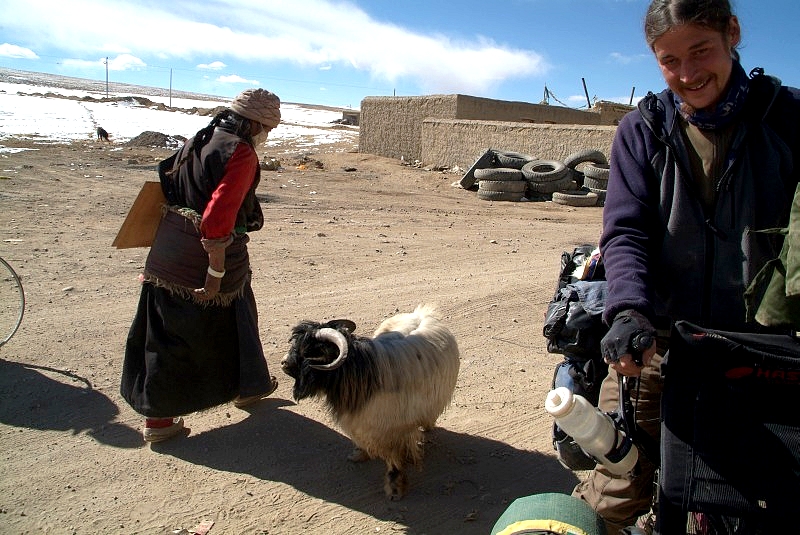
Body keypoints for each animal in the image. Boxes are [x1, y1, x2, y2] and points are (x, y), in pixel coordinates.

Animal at [282, 306, 460, 502]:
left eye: (308, 350)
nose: (284, 363)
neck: (359, 373)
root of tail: (422, 313)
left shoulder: (392, 431)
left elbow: (393, 459)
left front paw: (394, 488)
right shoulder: (360, 424)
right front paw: (359, 454)